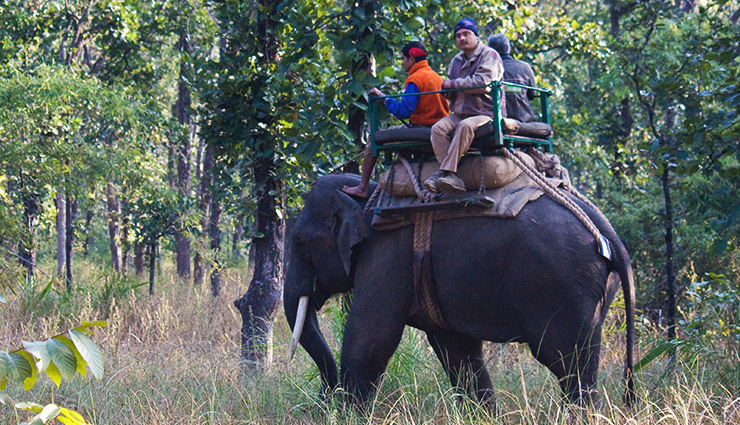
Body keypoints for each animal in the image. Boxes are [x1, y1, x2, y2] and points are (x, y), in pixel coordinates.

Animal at [284, 173, 635, 407]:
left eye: (300, 242)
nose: (323, 398)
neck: (367, 195)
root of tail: (607, 233)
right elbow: (457, 350)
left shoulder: (386, 257)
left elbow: (370, 336)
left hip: (562, 288)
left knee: (569, 364)